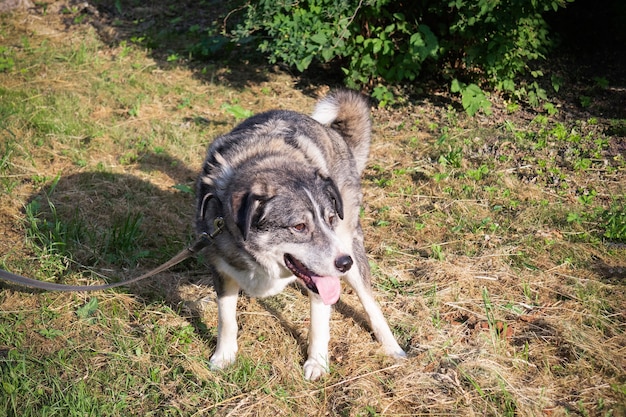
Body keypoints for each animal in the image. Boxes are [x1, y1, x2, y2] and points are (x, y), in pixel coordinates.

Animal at [195, 89, 404, 378]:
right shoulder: (221, 267)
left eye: (330, 219)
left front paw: (317, 362)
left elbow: (319, 324)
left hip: (350, 244)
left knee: (370, 301)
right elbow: (226, 318)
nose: (344, 263)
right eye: (299, 227)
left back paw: (391, 345)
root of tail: (338, 139)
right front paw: (224, 356)